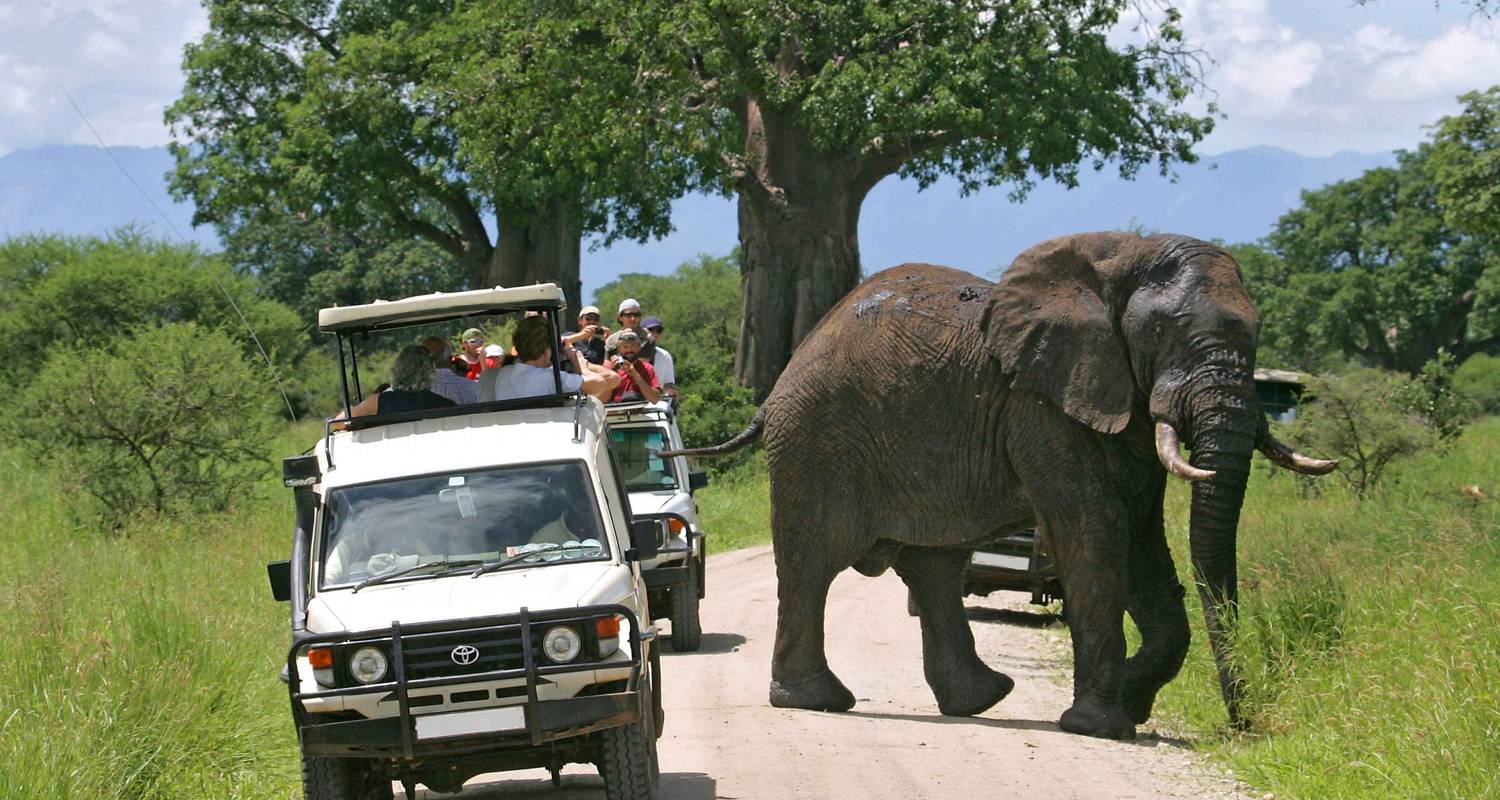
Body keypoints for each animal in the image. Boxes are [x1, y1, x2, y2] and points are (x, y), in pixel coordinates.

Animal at [669, 229, 1338, 735]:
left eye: (1258, 332)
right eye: (1160, 333)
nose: (1242, 725)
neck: (1121, 260)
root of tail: (781, 379)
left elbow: (1145, 542)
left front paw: (1131, 701)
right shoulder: (1041, 406)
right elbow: (1095, 535)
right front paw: (1101, 726)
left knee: (933, 567)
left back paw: (980, 700)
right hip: (816, 440)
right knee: (814, 562)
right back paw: (818, 702)